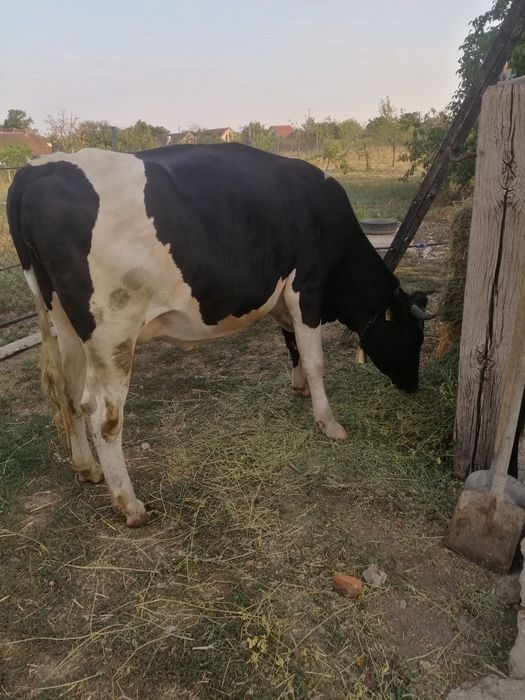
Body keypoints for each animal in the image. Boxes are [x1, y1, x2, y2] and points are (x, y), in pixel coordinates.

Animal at [7, 143, 434, 526]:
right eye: (414, 337)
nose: (413, 386)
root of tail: (35, 170)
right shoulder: (307, 288)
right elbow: (314, 360)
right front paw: (328, 423)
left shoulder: (284, 295)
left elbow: (292, 344)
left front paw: (298, 387)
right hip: (112, 332)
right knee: (102, 414)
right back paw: (130, 505)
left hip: (64, 325)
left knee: (67, 394)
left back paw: (86, 468)